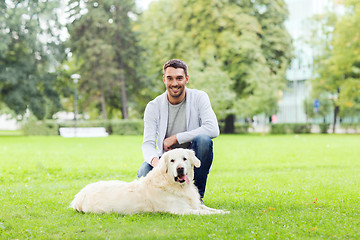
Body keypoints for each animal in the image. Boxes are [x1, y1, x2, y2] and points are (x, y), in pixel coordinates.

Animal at [70, 149, 228, 215]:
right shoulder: (181, 210)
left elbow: (207, 208)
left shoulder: (194, 204)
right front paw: (223, 214)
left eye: (184, 159)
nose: (180, 169)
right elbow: (205, 213)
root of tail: (80, 195)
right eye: (172, 160)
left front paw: (225, 211)